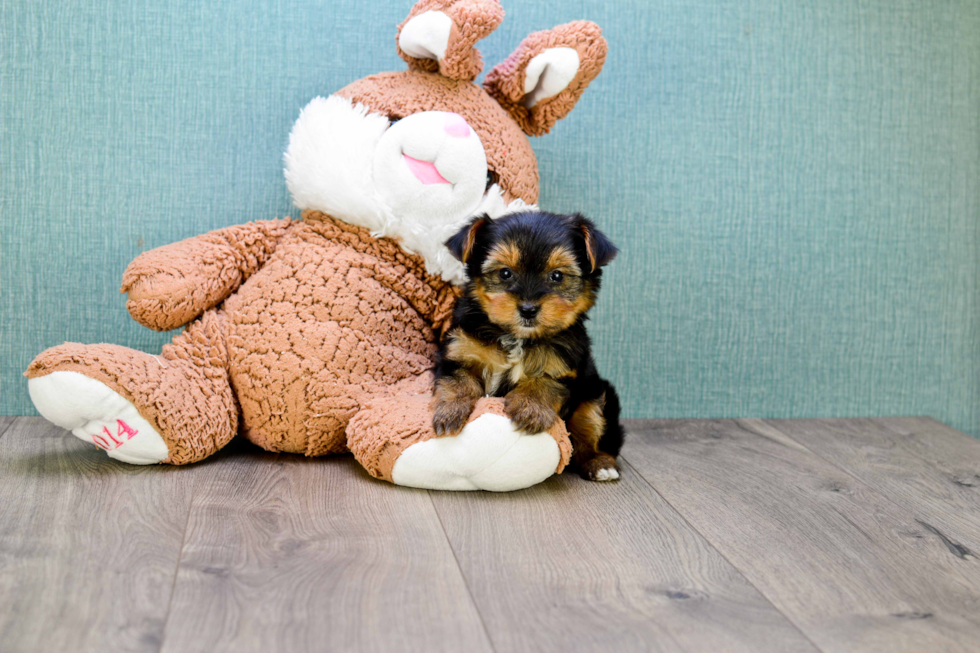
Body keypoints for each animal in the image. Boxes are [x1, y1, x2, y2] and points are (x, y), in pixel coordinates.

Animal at [432, 211, 624, 482]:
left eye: (557, 276)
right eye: (505, 273)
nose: (528, 309)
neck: (518, 337)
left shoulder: (564, 364)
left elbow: (546, 382)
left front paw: (530, 409)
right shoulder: (459, 349)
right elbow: (458, 380)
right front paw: (451, 411)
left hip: (596, 392)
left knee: (591, 423)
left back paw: (600, 463)